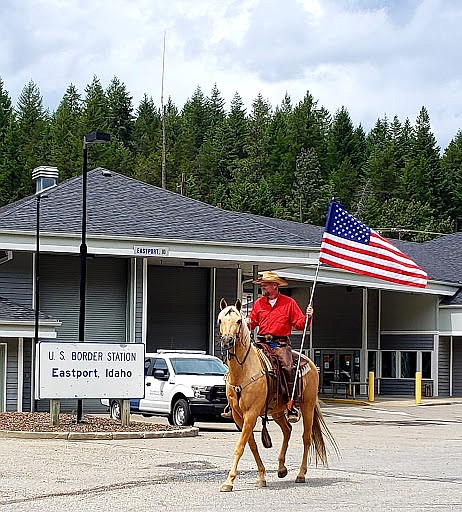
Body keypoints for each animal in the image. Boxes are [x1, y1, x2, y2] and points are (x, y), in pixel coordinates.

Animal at [217, 300, 336, 492]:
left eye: (238, 321)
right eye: (220, 320)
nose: (227, 341)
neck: (243, 370)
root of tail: (310, 362)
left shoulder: (251, 414)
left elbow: (240, 446)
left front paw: (229, 481)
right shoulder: (238, 415)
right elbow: (251, 445)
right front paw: (261, 476)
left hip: (307, 406)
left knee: (306, 438)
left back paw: (301, 474)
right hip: (278, 411)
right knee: (287, 430)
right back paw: (281, 469)